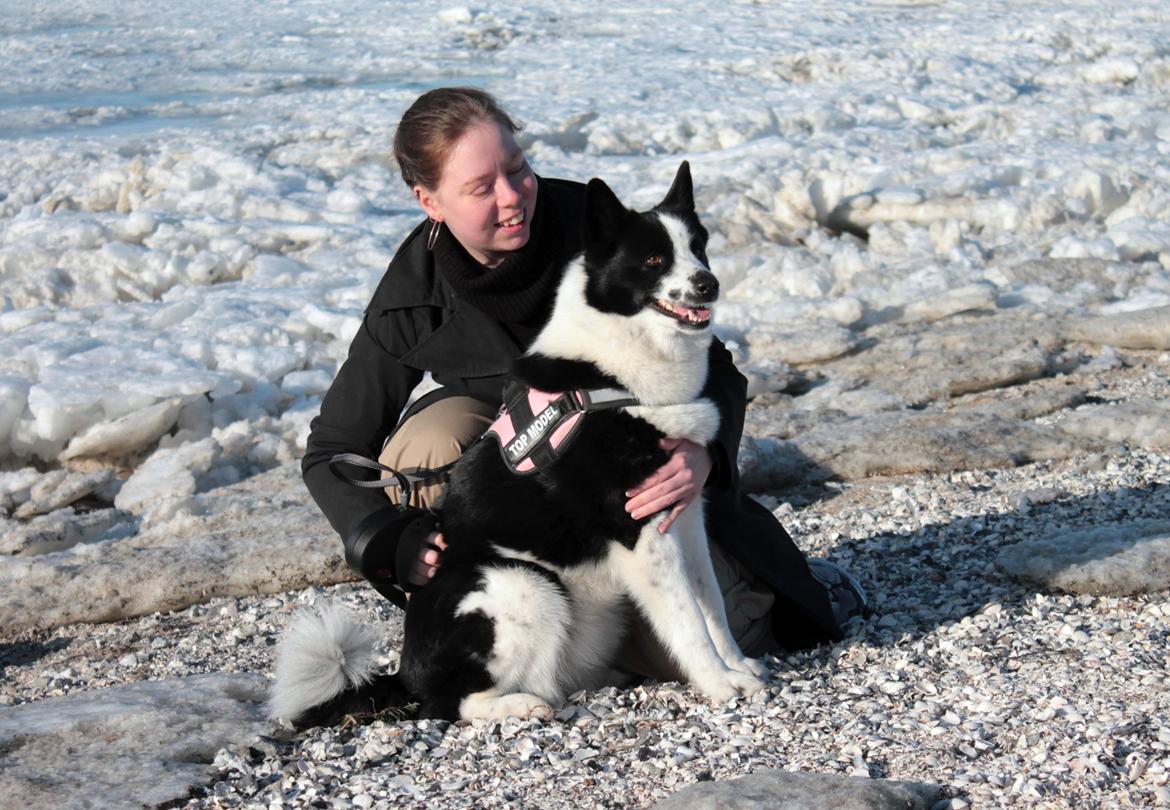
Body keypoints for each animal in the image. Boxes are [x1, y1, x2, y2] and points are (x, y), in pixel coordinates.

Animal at [271, 161, 767, 725]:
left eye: (698, 247)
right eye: (654, 259)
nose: (709, 284)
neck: (613, 374)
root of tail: (403, 673)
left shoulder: (684, 514)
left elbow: (713, 606)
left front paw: (737, 668)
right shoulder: (643, 534)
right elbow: (687, 619)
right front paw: (718, 685)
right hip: (525, 584)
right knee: (455, 702)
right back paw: (523, 705)